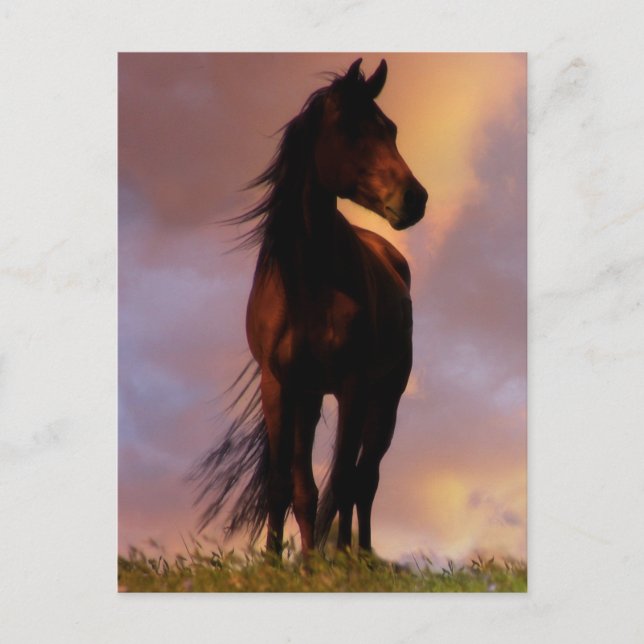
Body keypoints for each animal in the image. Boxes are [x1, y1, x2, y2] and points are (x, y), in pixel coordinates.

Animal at [190, 58, 428, 559]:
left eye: (391, 129)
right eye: (351, 127)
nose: (415, 198)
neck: (306, 287)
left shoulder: (354, 385)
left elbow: (341, 481)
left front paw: (330, 561)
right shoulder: (283, 386)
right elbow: (288, 484)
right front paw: (283, 561)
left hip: (385, 398)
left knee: (365, 480)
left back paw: (360, 556)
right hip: (315, 397)